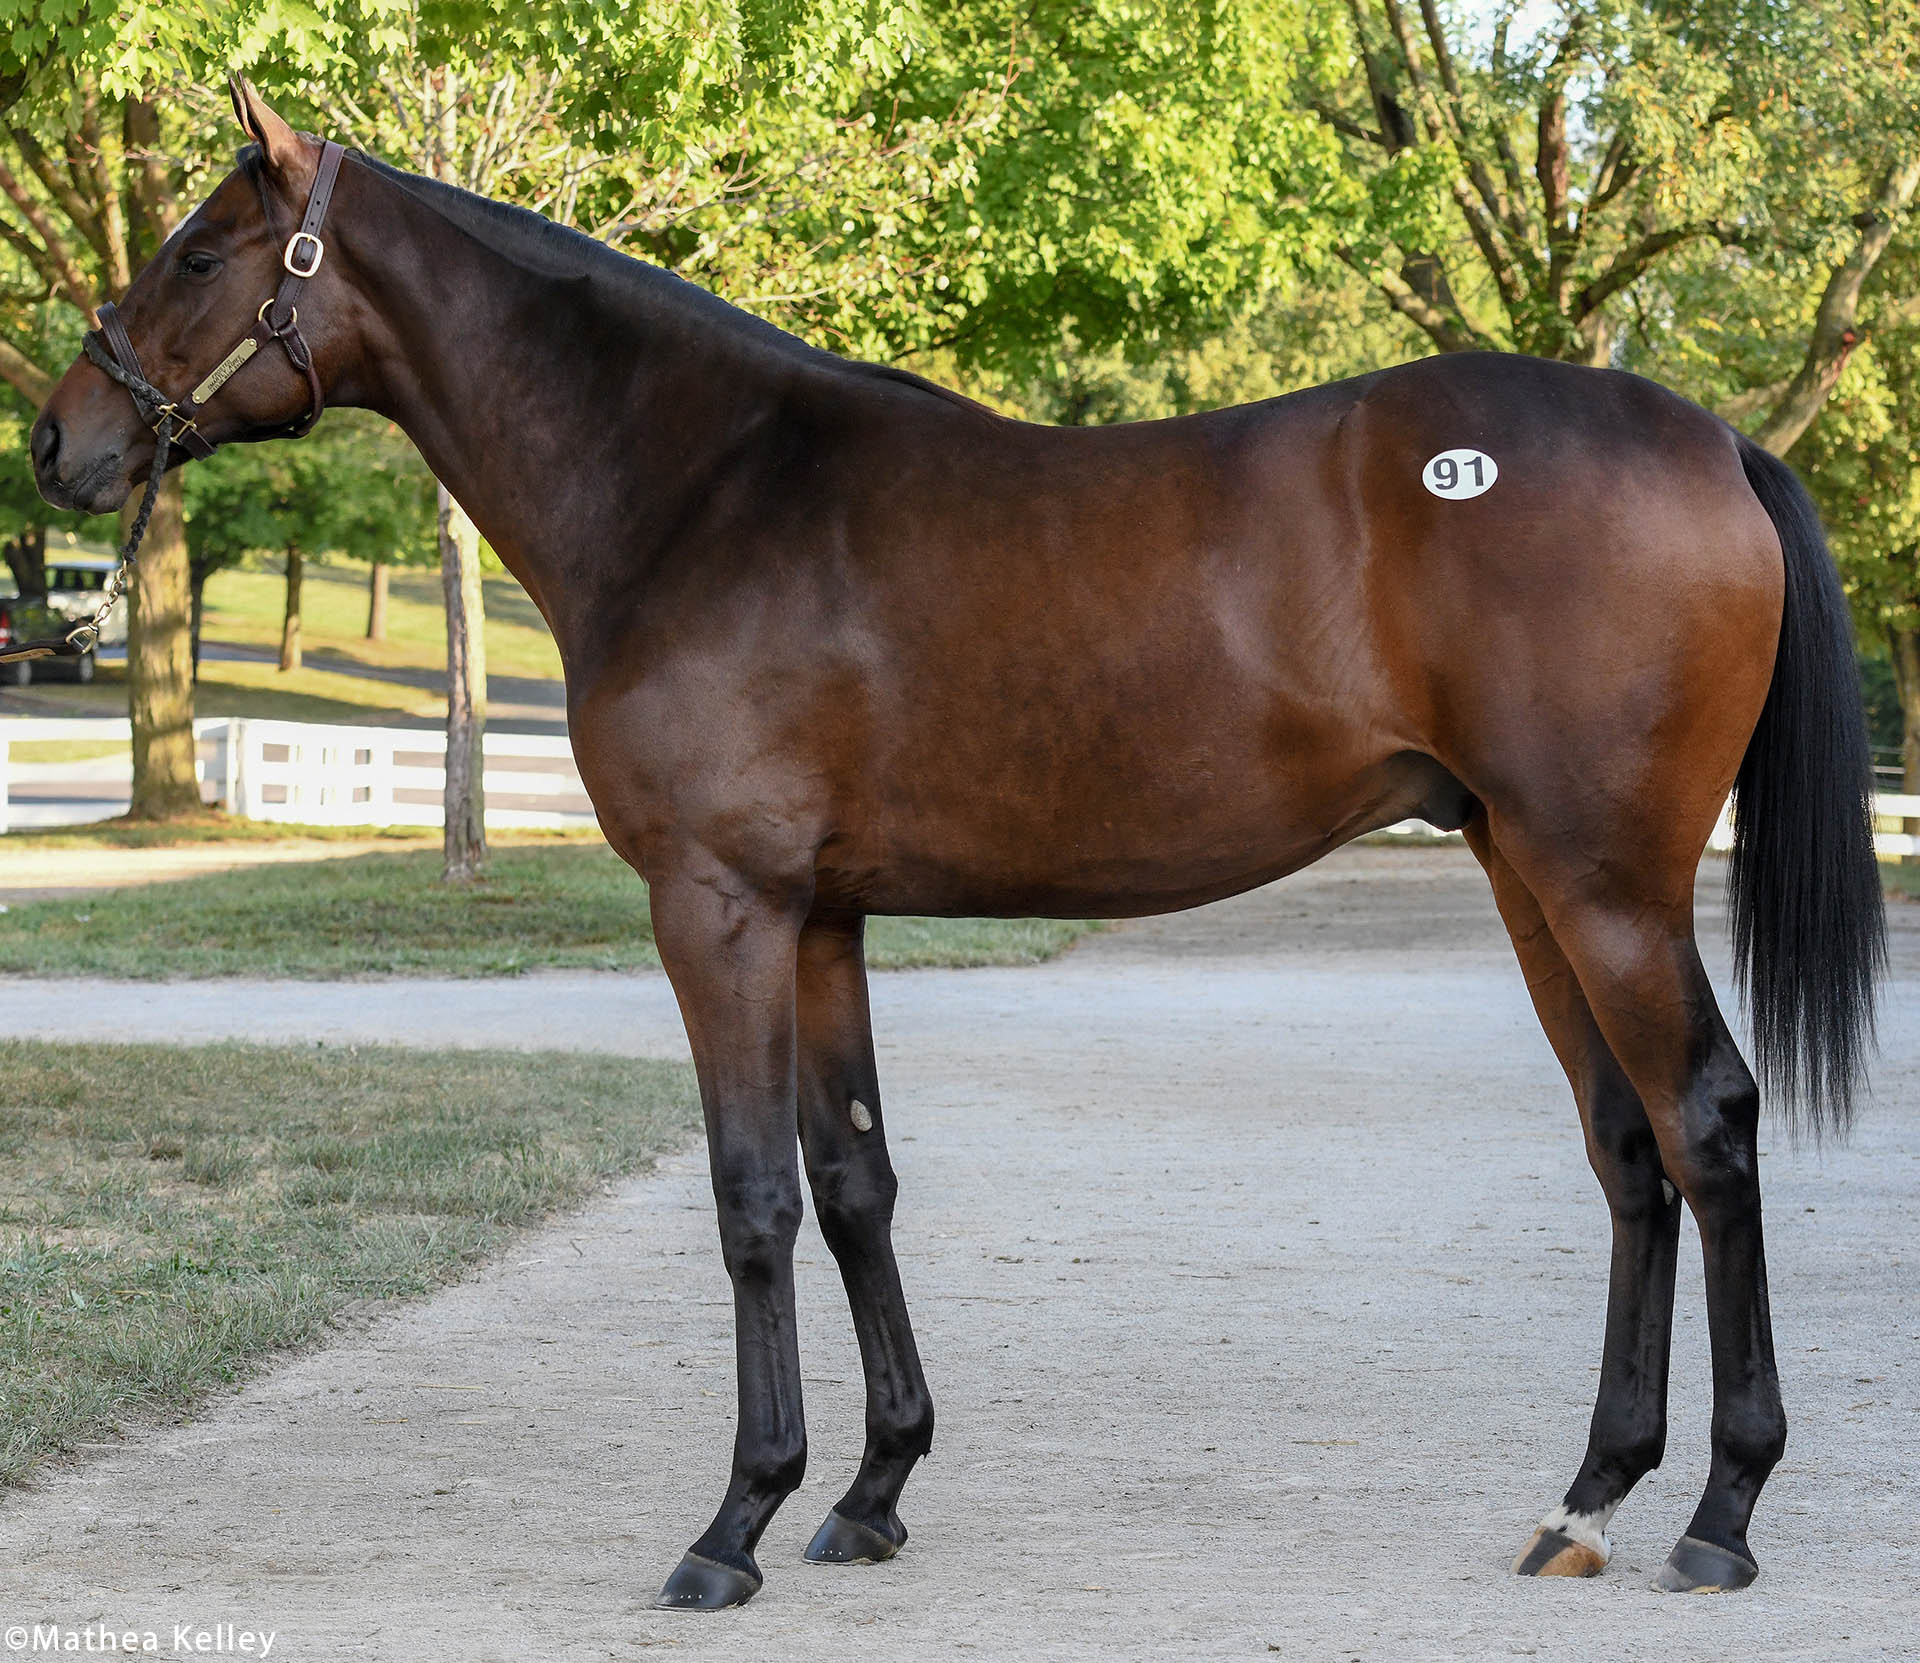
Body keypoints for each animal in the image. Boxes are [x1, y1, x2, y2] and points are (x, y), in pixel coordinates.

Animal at [33, 84, 1889, 1597]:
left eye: (201, 250)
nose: (63, 440)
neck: (702, 489)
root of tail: (1714, 436)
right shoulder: (820, 915)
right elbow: (855, 1179)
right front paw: (869, 1490)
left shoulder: (717, 906)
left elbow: (751, 1197)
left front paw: (736, 1518)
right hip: (1525, 868)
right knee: (1627, 1146)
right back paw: (1587, 1496)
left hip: (1606, 880)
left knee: (1708, 1125)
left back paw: (1721, 1513)